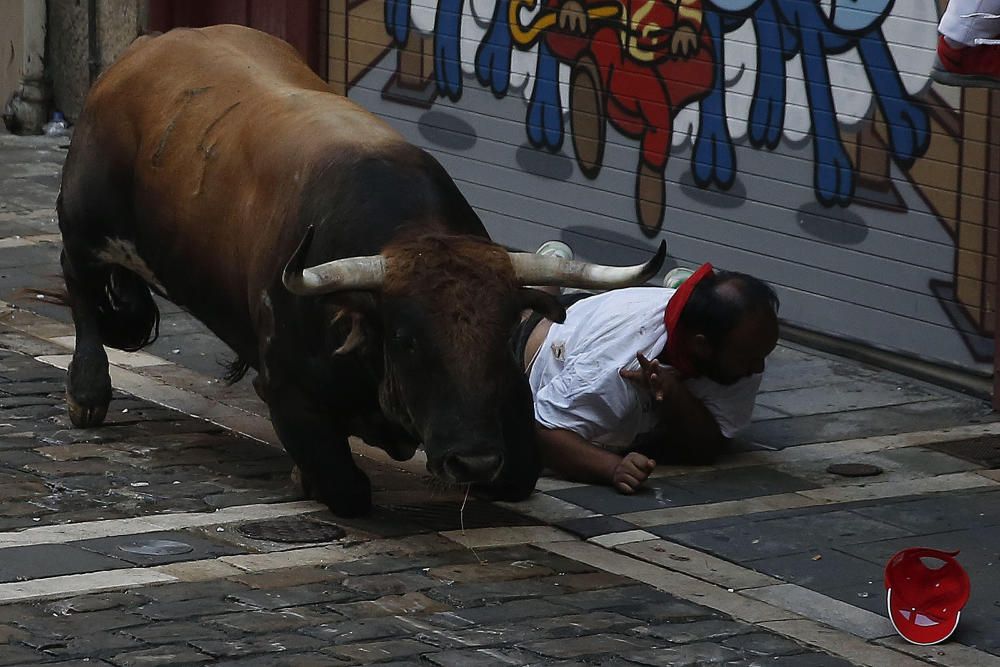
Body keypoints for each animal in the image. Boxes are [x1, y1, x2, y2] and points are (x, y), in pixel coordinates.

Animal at [56, 24, 664, 516]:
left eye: (499, 336)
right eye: (407, 339)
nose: (472, 462)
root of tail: (146, 46)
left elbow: (519, 475)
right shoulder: (287, 389)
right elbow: (348, 490)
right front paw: (310, 478)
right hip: (82, 217)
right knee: (78, 282)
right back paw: (87, 392)